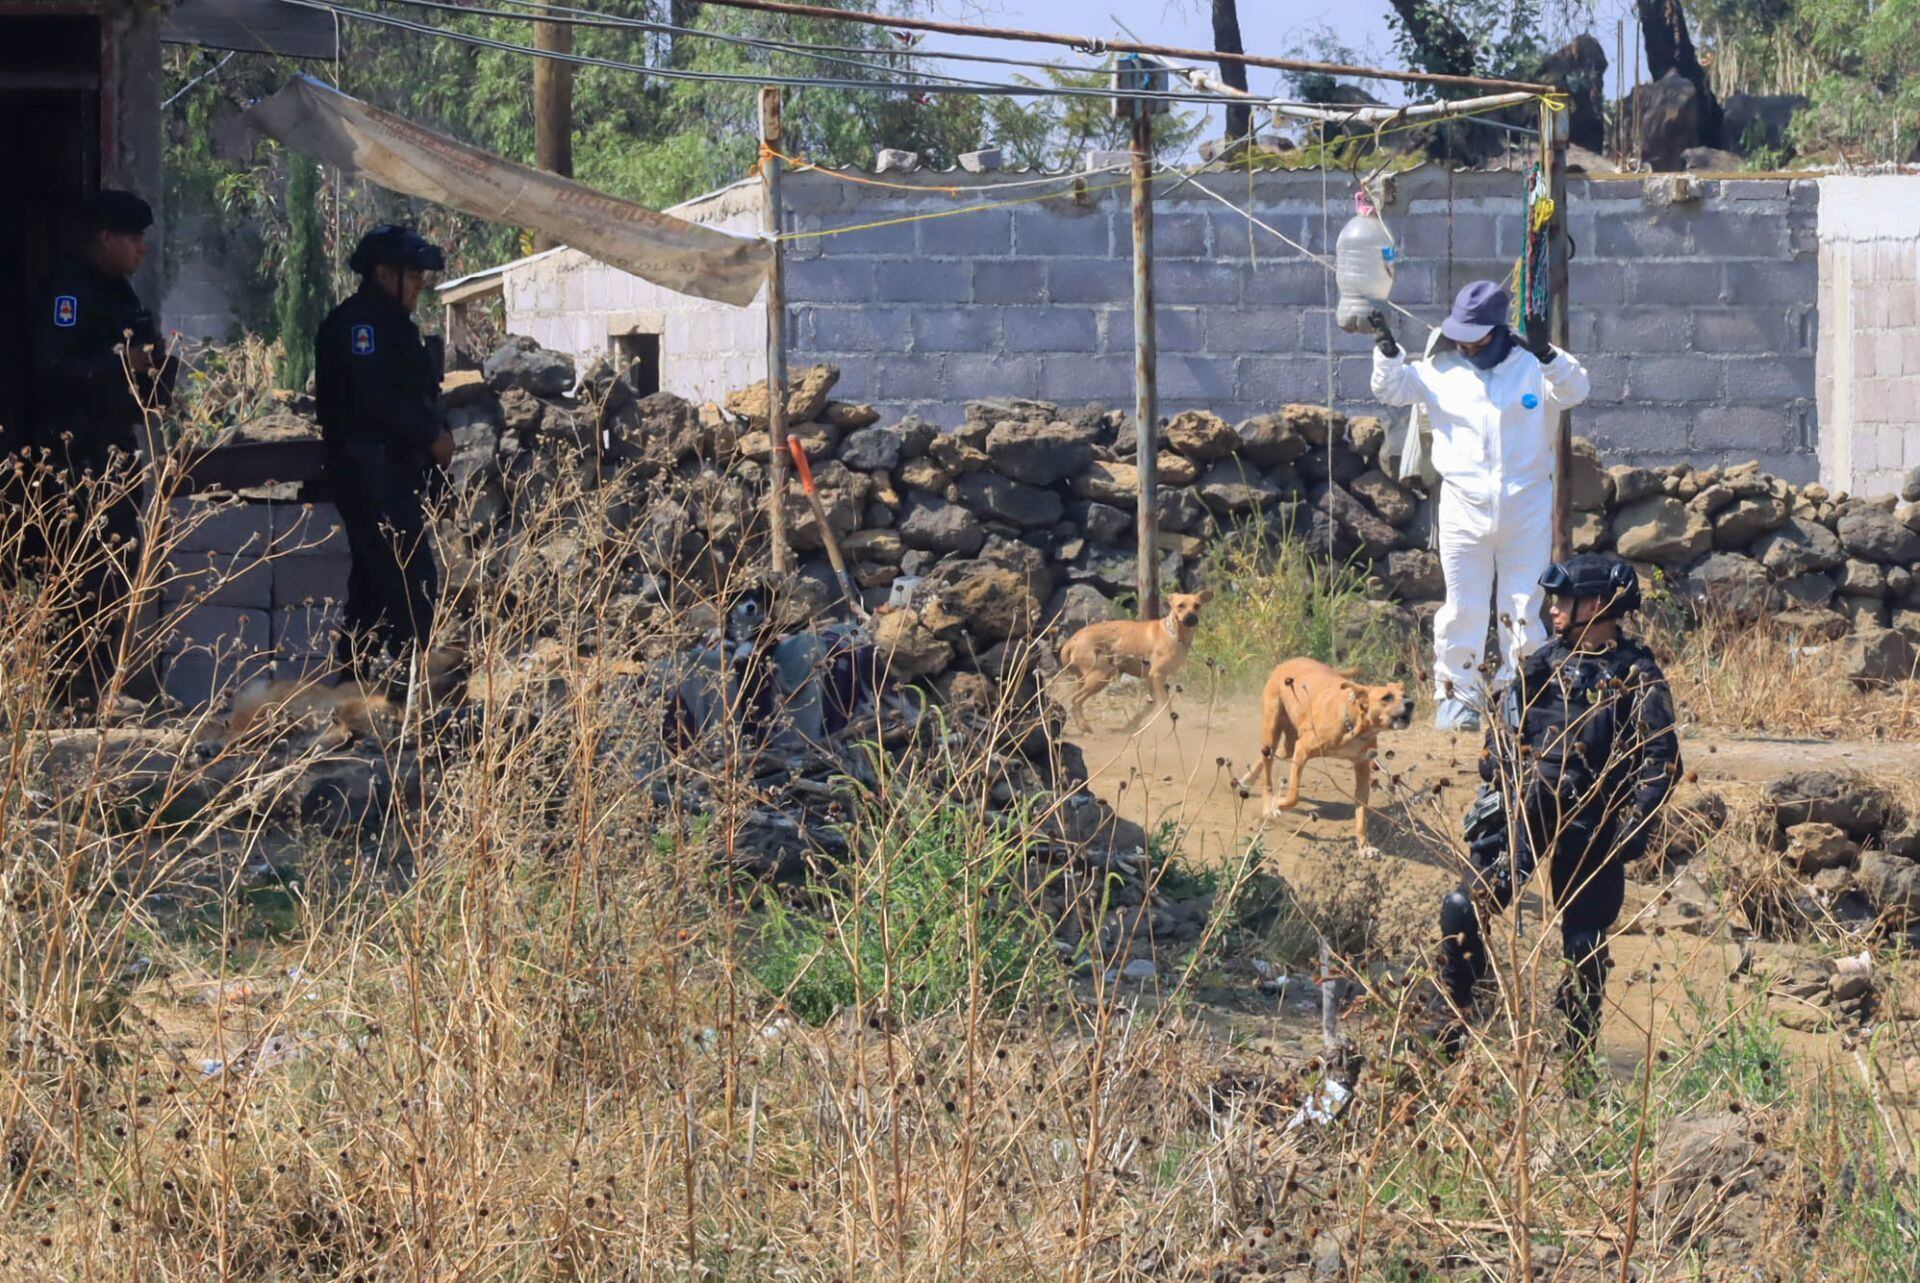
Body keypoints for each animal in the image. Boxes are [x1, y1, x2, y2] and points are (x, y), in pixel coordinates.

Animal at [1059, 591, 1205, 729]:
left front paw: (1132, 725)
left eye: (1197, 605)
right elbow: (1164, 705)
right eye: (1180, 605)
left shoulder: (1154, 680)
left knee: (1074, 700)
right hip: (1099, 677)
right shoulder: (1158, 675)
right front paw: (1169, 722)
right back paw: (1084, 726)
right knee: (1075, 700)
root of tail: (1072, 640)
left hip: (1085, 680)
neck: (1174, 634)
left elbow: (1149, 707)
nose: (1191, 617)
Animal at [1236, 656, 1420, 845]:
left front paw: (1364, 845)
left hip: (1288, 745)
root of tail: (1289, 661)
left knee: (1272, 754)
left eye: (1405, 696)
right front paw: (1276, 805)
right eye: (1387, 697)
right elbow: (1293, 795)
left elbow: (1362, 810)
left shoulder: (1361, 766)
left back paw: (1247, 779)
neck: (1353, 723)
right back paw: (1266, 804)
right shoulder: (1302, 750)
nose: (1411, 703)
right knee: (1267, 771)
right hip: (1272, 730)